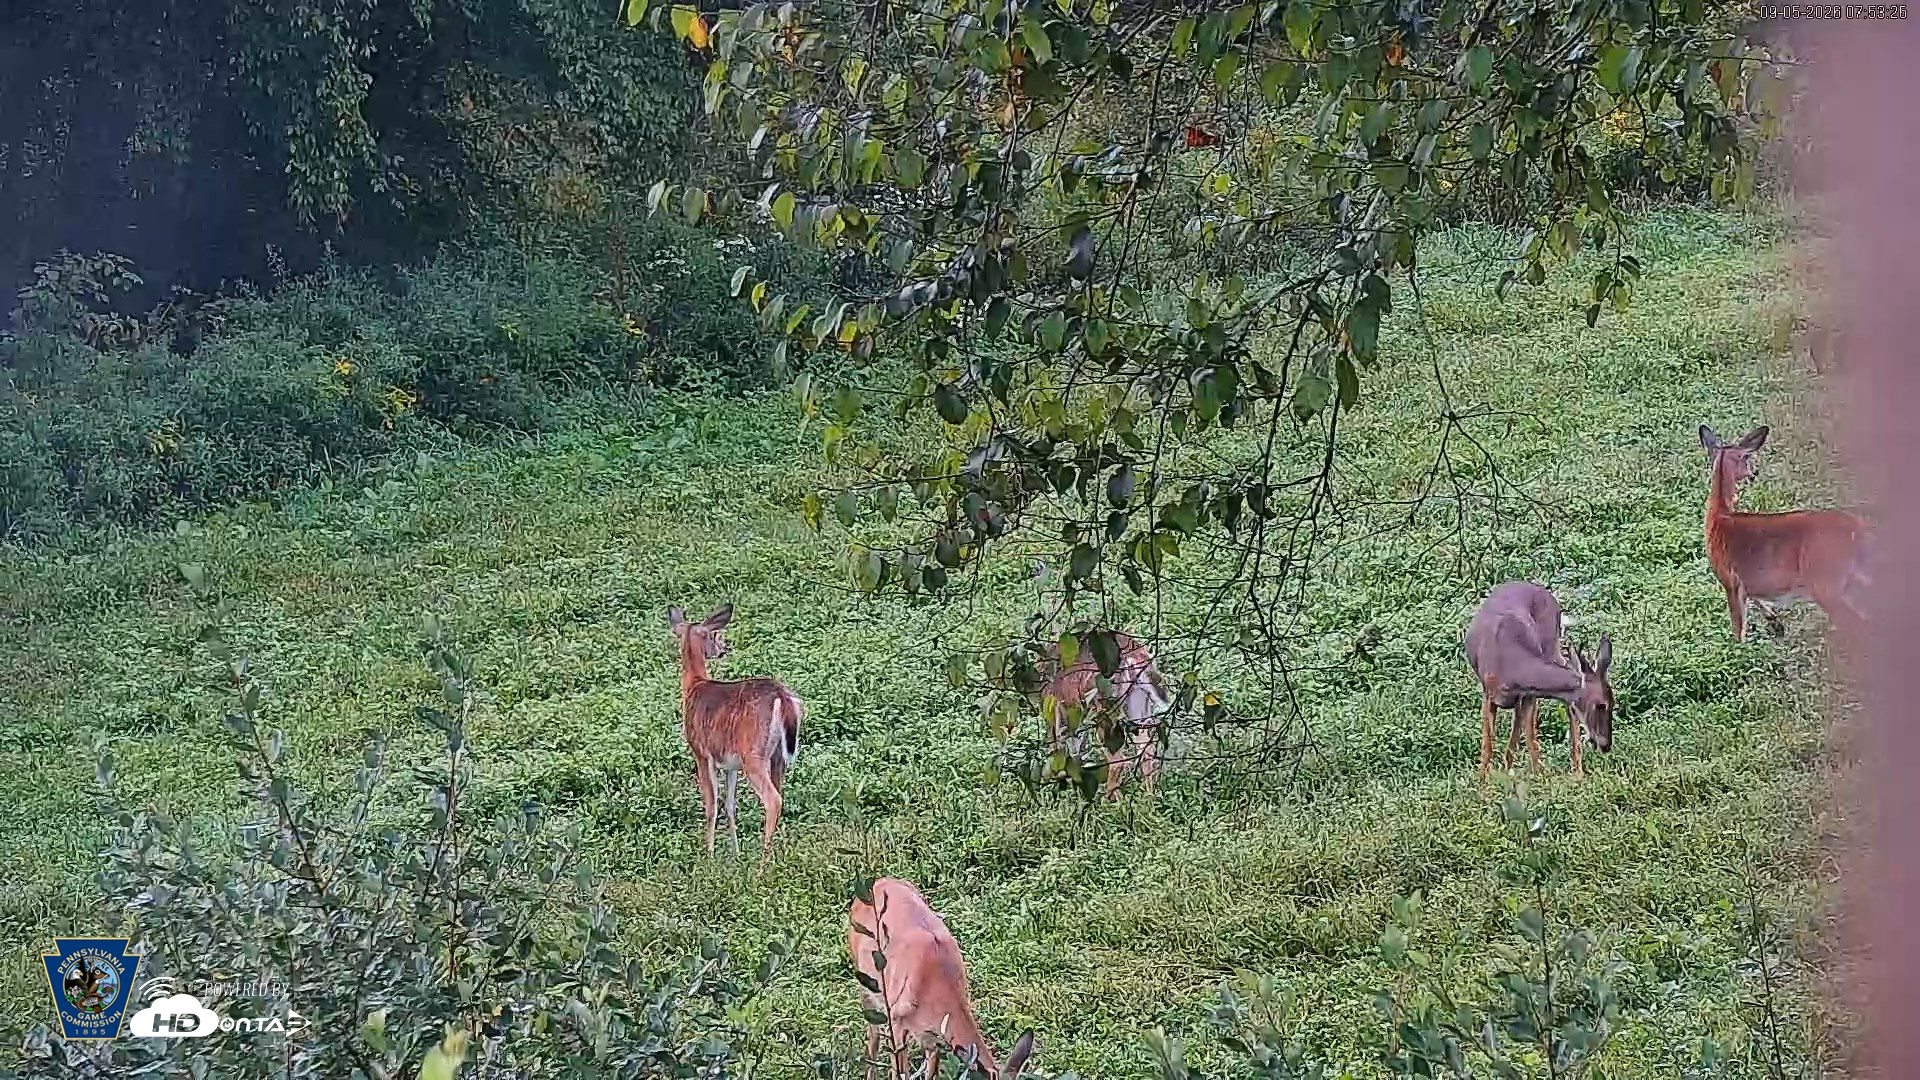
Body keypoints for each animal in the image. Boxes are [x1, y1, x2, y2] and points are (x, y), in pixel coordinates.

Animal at [666, 604, 803, 856]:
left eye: (715, 634)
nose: (723, 649)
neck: (694, 685)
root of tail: (781, 695)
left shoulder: (701, 753)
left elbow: (711, 804)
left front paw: (709, 855)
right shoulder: (730, 764)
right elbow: (730, 805)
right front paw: (735, 853)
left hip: (753, 754)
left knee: (773, 799)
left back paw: (764, 858)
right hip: (778, 756)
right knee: (780, 793)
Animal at [1039, 632, 1172, 799]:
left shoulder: (1055, 714)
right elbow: (1076, 753)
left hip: (1104, 705)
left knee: (1118, 758)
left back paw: (1109, 799)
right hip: (1138, 702)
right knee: (1145, 746)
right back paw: (1149, 797)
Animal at [1465, 581, 1615, 781]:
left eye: (1614, 704)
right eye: (1601, 705)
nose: (1606, 745)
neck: (1512, 666)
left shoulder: (1528, 695)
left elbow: (1530, 738)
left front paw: (1538, 776)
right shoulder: (1489, 694)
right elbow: (1488, 744)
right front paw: (1482, 781)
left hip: (1552, 646)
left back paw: (1577, 770)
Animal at [1699, 425, 1874, 643]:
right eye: (1747, 458)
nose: (1754, 474)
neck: (1719, 518)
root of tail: (1858, 529)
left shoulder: (1729, 579)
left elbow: (1738, 628)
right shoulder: (1744, 583)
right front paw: (1775, 623)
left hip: (1826, 585)